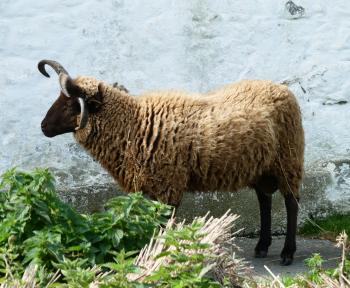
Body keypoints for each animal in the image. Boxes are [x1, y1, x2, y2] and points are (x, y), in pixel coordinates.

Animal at [39, 59, 304, 266]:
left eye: (71, 104)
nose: (43, 127)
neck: (134, 123)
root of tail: (282, 89)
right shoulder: (153, 187)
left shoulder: (169, 185)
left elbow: (164, 225)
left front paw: (162, 255)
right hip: (262, 166)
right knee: (264, 201)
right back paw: (262, 247)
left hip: (288, 160)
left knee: (291, 203)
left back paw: (287, 253)